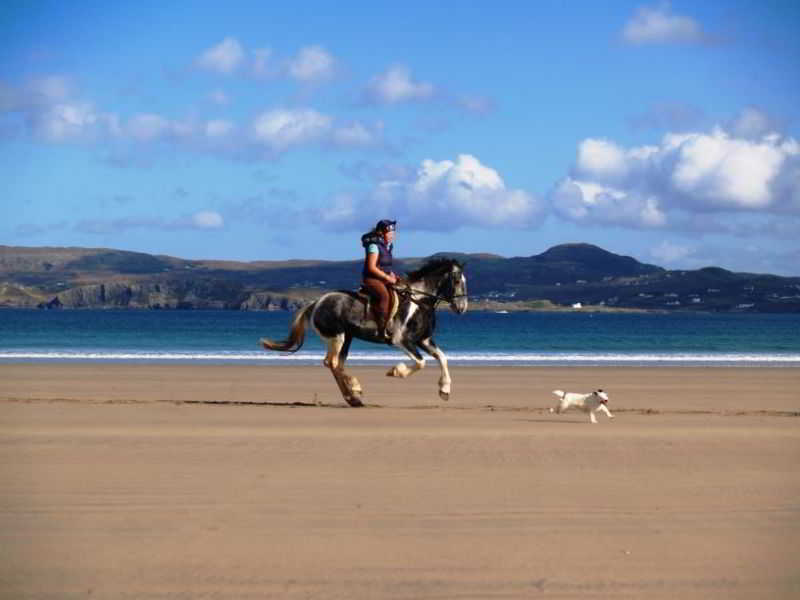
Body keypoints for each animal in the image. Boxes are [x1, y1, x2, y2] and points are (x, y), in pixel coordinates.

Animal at [260, 258, 468, 408]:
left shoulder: (423, 340)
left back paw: (354, 395)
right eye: (458, 280)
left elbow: (442, 358)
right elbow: (421, 362)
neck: (419, 301)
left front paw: (445, 390)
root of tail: (316, 302)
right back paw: (354, 393)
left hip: (347, 338)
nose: (462, 308)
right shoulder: (401, 340)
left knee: (336, 364)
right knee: (332, 363)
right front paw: (394, 371)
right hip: (338, 336)